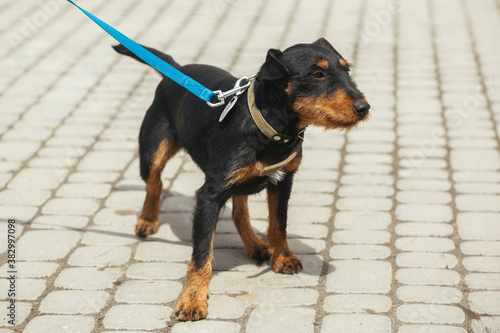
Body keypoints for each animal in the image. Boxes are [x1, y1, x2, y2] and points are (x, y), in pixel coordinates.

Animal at [114, 37, 372, 320]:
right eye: (317, 74)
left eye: (347, 69)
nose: (364, 107)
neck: (269, 128)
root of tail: (177, 69)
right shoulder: (210, 195)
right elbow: (202, 254)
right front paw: (192, 300)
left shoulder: (284, 181)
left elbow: (278, 224)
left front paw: (282, 257)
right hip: (152, 152)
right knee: (155, 183)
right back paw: (148, 220)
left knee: (239, 211)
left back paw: (254, 244)